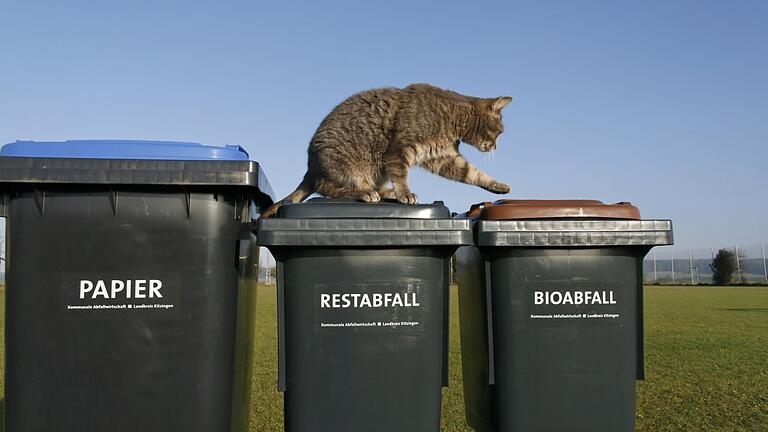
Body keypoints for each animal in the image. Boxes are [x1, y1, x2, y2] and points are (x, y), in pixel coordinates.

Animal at [260, 82, 512, 218]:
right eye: (499, 131)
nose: (496, 145)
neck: (453, 118)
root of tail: (310, 169)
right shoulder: (399, 150)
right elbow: (401, 175)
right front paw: (405, 193)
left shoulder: (444, 157)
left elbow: (472, 173)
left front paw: (497, 185)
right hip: (347, 165)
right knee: (328, 188)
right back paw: (366, 192)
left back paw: (384, 192)